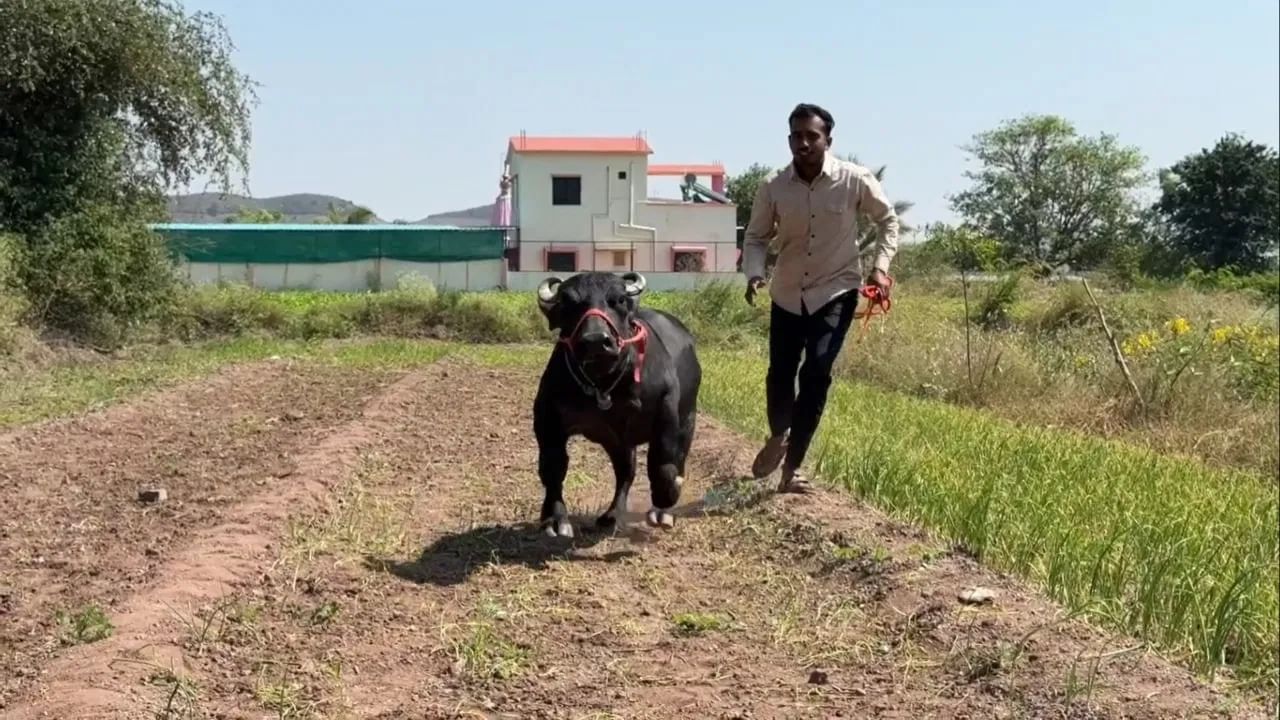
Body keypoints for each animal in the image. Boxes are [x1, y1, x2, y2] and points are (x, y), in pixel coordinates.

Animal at [532, 271, 702, 537]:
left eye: (619, 299)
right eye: (567, 302)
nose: (595, 340)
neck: (605, 385)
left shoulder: (667, 414)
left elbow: (664, 464)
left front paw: (666, 501)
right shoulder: (546, 417)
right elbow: (552, 466)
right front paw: (554, 518)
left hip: (688, 419)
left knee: (678, 460)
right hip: (617, 441)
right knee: (625, 474)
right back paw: (611, 515)